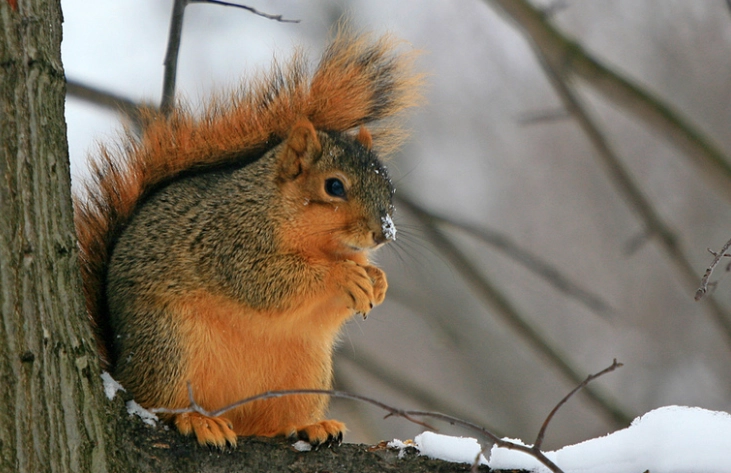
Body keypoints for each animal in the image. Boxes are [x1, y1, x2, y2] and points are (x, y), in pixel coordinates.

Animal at [73, 29, 422, 448]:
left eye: (389, 187)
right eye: (334, 186)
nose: (384, 232)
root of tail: (123, 372)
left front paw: (377, 280)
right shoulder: (229, 241)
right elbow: (264, 282)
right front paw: (342, 276)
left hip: (305, 374)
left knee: (273, 423)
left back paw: (310, 426)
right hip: (169, 347)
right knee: (160, 404)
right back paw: (198, 420)